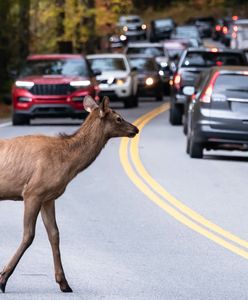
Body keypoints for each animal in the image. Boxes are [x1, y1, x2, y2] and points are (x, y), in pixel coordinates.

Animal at [0, 96, 138, 292]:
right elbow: (29, 236)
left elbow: (54, 234)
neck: (67, 163)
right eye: (118, 118)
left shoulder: (48, 197)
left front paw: (63, 283)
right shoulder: (33, 191)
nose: (135, 129)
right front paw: (3, 278)